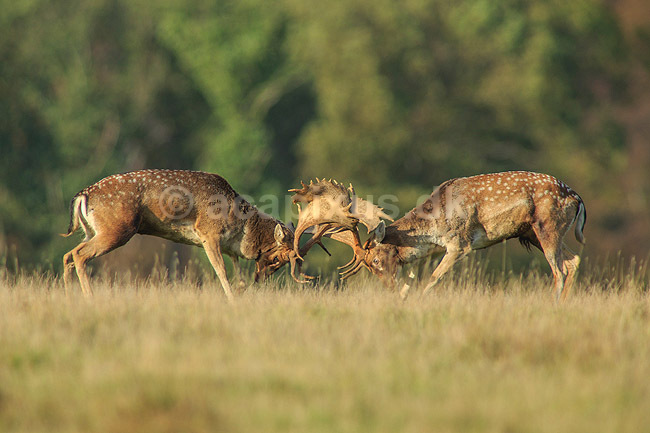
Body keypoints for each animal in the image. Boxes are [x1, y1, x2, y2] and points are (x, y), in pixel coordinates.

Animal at [62, 169, 325, 301]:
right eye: (279, 257)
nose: (261, 278)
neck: (240, 227)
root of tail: (83, 195)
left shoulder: (228, 247)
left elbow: (238, 274)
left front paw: (241, 292)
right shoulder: (209, 233)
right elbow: (221, 271)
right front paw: (232, 299)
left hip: (93, 231)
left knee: (68, 254)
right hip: (117, 228)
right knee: (79, 255)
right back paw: (89, 296)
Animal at [292, 172, 586, 301]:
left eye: (375, 260)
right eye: (368, 267)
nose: (387, 287)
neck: (433, 228)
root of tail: (577, 198)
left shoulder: (460, 243)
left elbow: (432, 279)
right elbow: (411, 281)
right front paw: (403, 298)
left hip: (547, 226)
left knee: (559, 270)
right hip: (536, 233)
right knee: (573, 261)